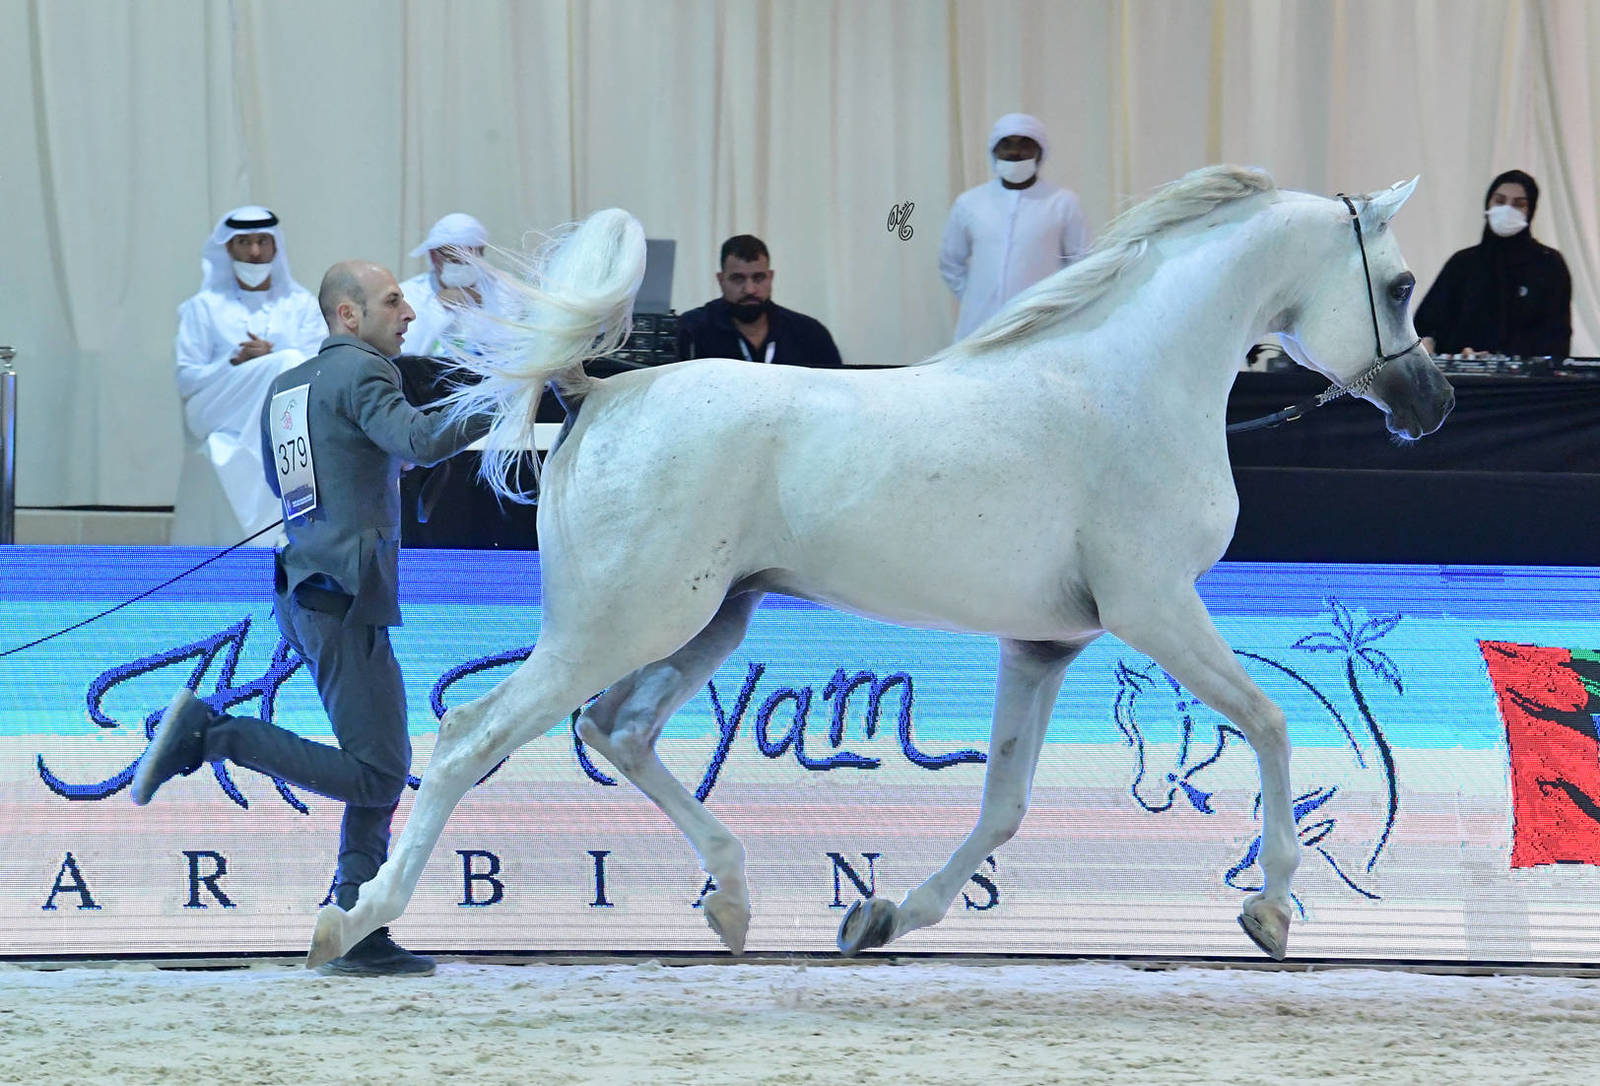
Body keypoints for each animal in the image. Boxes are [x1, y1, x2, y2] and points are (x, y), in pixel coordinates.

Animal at [306, 164, 1453, 967]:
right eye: (1400, 286)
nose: (1433, 408)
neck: (1123, 387)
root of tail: (604, 392)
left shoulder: (1046, 643)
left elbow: (1003, 803)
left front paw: (885, 915)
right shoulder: (1157, 609)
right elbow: (1269, 723)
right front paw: (1269, 910)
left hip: (708, 620)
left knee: (617, 732)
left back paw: (732, 902)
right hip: (619, 625)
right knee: (472, 736)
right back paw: (355, 924)